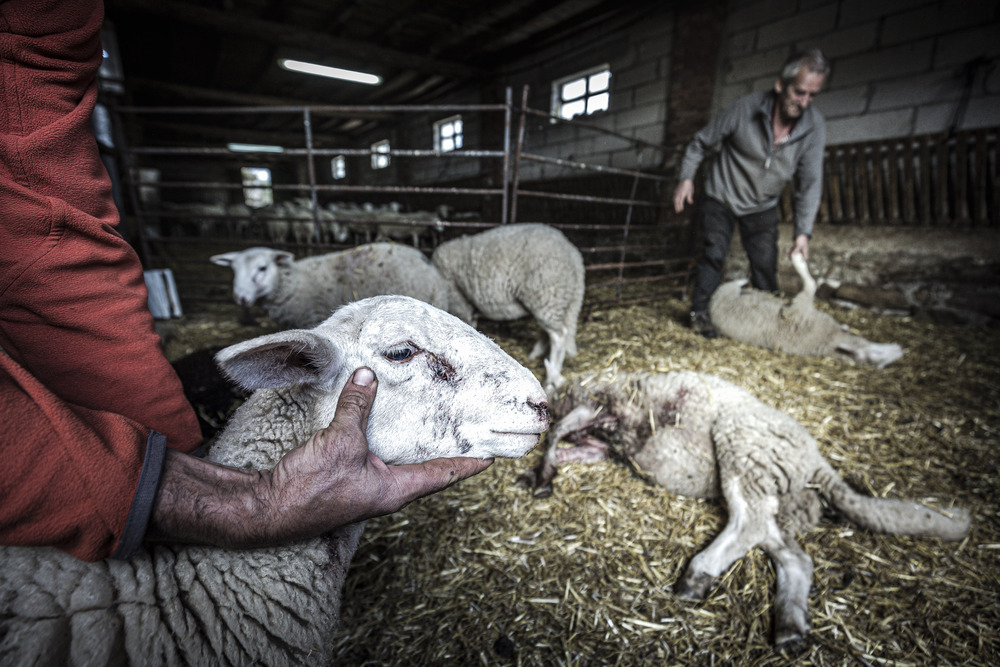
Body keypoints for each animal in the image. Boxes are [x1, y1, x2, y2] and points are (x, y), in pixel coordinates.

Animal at [520, 370, 972, 648]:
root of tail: (816, 465)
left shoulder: (599, 405)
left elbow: (557, 432)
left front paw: (542, 476)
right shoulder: (602, 438)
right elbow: (571, 445)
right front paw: (550, 470)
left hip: (742, 447)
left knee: (749, 523)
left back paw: (697, 577)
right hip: (776, 494)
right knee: (791, 554)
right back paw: (789, 628)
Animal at [704, 250, 908, 368]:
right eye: (876, 355)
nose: (900, 350)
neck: (828, 340)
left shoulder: (797, 308)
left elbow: (811, 284)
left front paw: (799, 261)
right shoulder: (797, 307)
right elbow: (813, 283)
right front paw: (805, 264)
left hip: (724, 292)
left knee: (732, 285)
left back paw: (744, 283)